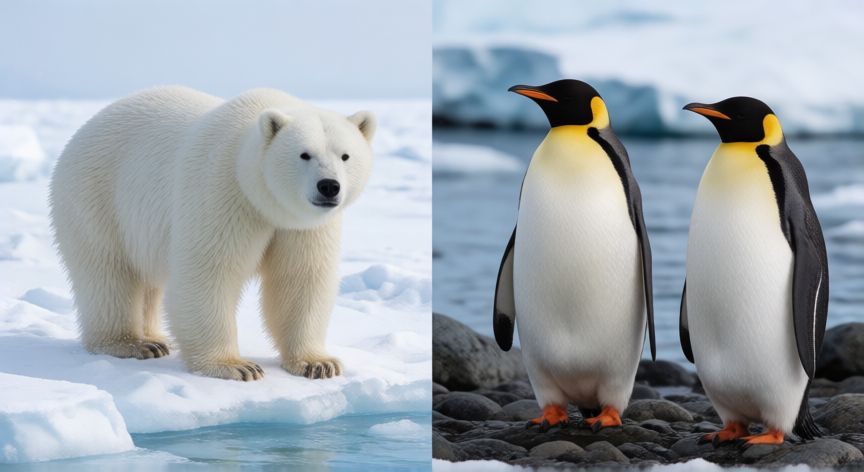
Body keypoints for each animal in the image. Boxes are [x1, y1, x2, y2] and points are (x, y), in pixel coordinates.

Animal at [49, 86, 375, 381]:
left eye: (345, 156)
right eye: (304, 155)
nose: (329, 186)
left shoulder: (303, 227)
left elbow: (300, 278)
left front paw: (319, 364)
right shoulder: (223, 192)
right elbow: (210, 272)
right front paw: (236, 366)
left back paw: (155, 339)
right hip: (97, 198)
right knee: (108, 273)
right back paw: (132, 343)